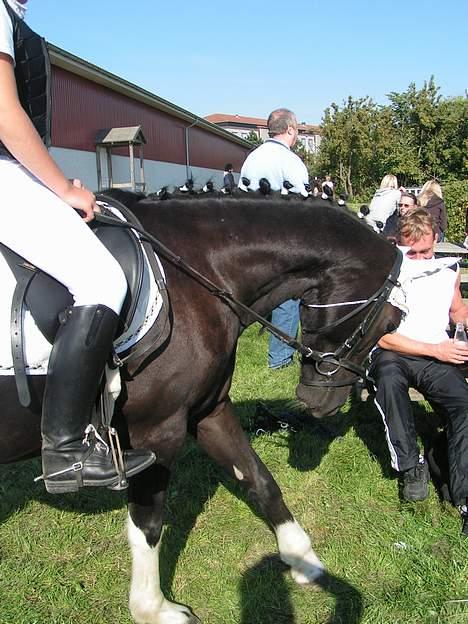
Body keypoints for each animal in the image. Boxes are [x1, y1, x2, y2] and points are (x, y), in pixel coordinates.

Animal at [0, 195, 402, 624]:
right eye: (391, 323)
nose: (320, 403)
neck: (199, 271)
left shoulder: (208, 411)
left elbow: (258, 479)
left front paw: (300, 555)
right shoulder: (157, 431)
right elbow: (148, 525)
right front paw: (153, 609)